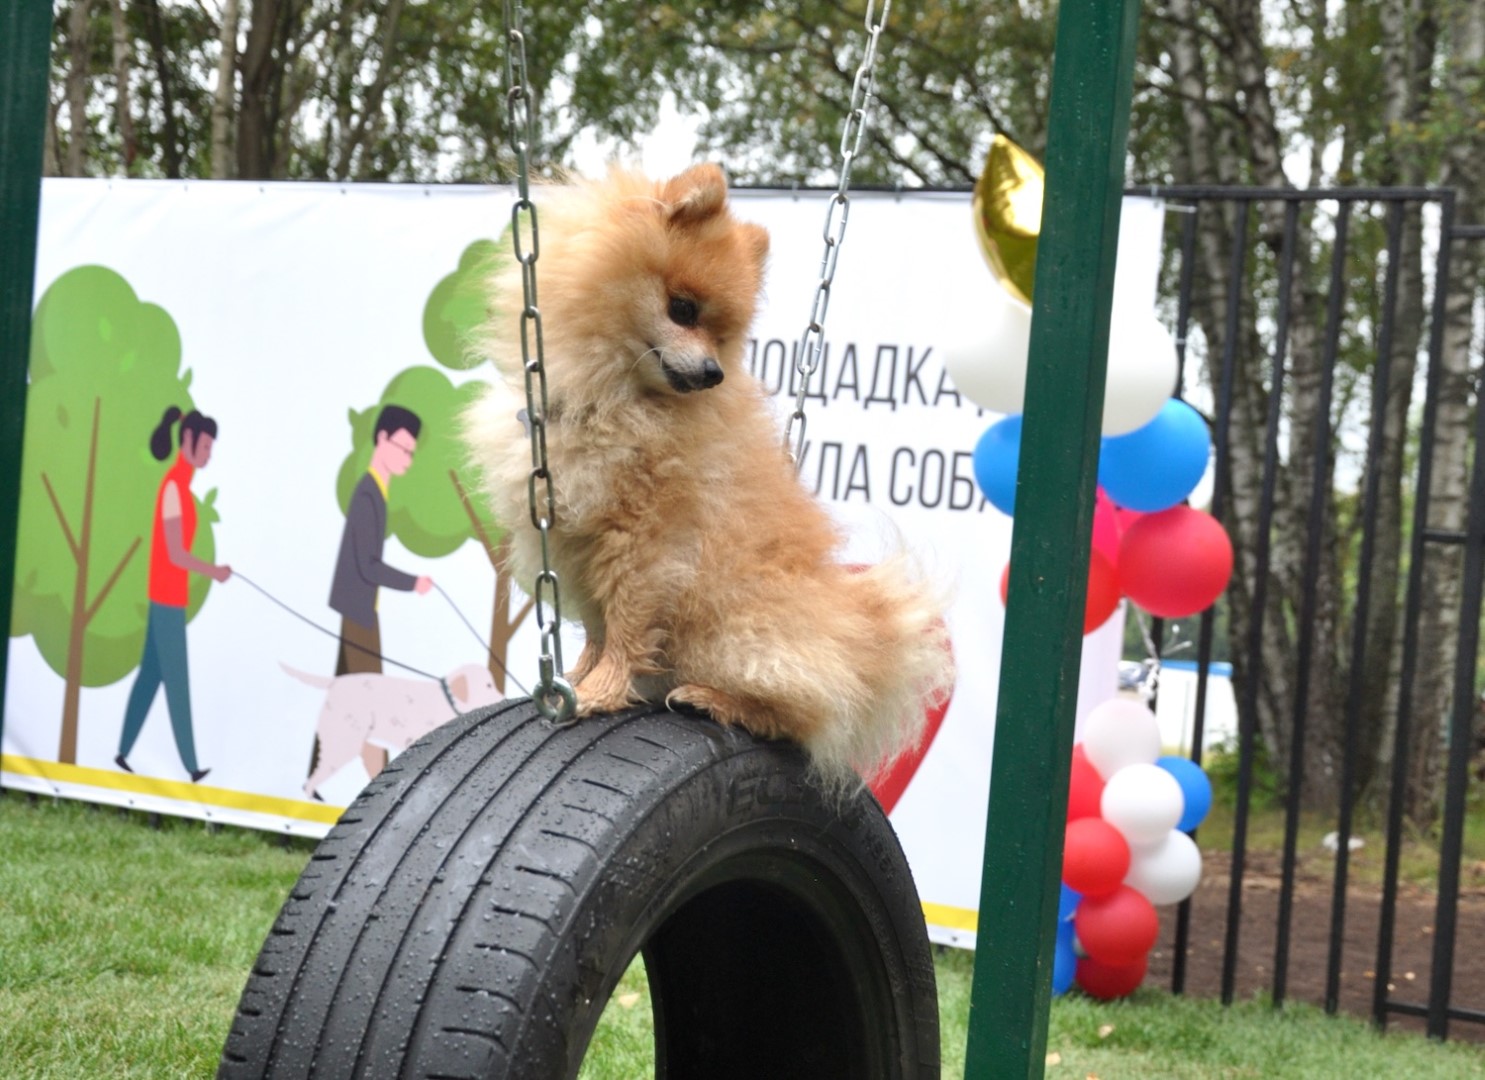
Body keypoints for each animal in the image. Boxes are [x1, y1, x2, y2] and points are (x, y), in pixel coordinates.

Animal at [283, 659, 504, 802]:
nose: (503, 698)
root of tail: (335, 681)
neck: (448, 698)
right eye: (488, 685)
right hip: (344, 740)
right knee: (316, 775)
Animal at [460, 162, 950, 796]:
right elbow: (596, 624)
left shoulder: (643, 540)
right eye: (683, 309)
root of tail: (868, 642)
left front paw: (601, 690)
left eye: (721, 336)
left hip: (739, 628)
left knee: (803, 712)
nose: (715, 372)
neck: (611, 400)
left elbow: (625, 623)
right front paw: (580, 677)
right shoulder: (575, 541)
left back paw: (717, 699)